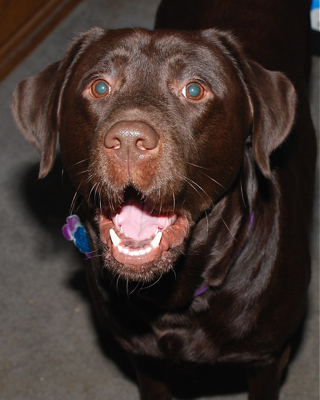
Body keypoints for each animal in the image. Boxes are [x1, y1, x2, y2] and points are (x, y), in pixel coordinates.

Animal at [11, 0, 316, 400]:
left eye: (194, 89)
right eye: (99, 86)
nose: (128, 140)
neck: (175, 305)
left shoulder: (267, 360)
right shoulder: (144, 360)